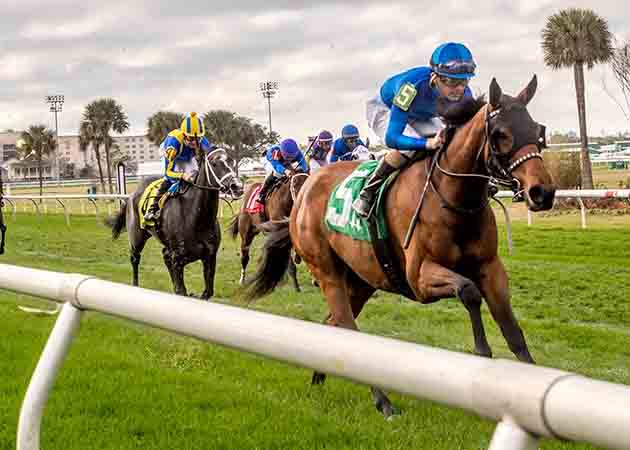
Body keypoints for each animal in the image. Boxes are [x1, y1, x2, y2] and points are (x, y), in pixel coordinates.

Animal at [108, 149, 244, 298]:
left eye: (231, 161)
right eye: (214, 164)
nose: (237, 186)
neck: (198, 219)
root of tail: (131, 195)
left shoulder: (209, 256)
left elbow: (207, 292)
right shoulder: (178, 259)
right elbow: (181, 290)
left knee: (164, 255)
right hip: (136, 238)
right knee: (135, 258)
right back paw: (135, 284)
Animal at [244, 77, 556, 418]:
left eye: (538, 130)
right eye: (501, 134)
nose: (542, 192)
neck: (453, 198)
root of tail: (302, 194)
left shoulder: (490, 268)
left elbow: (513, 332)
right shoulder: (419, 277)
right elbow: (469, 291)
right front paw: (481, 351)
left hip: (362, 279)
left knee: (334, 324)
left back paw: (319, 377)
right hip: (327, 271)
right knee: (349, 329)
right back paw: (383, 402)